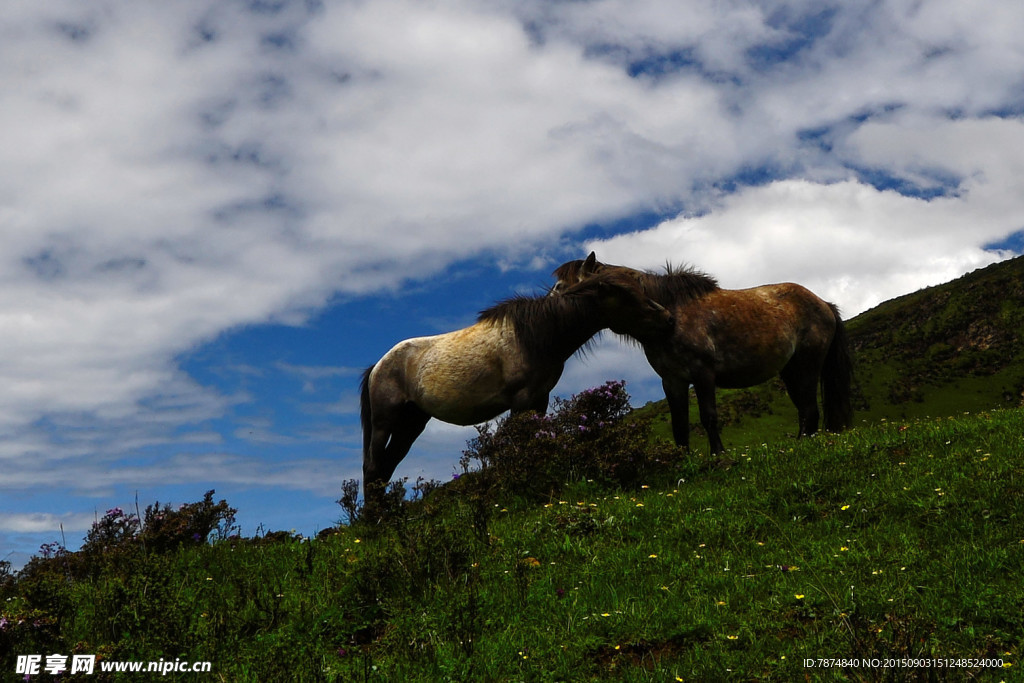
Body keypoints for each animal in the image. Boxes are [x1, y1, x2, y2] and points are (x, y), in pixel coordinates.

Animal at [356, 268, 675, 501]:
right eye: (624, 294)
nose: (667, 318)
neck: (537, 335)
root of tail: (378, 366)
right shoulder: (521, 400)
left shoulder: (539, 399)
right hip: (385, 422)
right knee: (373, 468)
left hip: (412, 423)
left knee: (386, 468)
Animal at [557, 253, 851, 456]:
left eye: (561, 286)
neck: (672, 316)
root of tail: (824, 304)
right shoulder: (672, 381)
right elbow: (679, 424)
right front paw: (681, 458)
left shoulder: (703, 375)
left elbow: (709, 416)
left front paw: (718, 454)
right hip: (791, 371)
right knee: (804, 410)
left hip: (807, 367)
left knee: (810, 410)